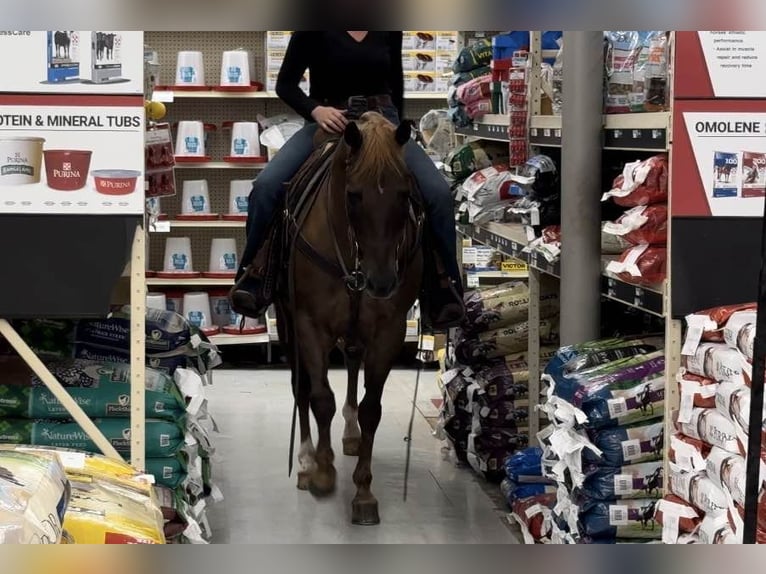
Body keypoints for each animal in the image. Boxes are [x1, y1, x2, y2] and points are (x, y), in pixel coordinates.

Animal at [274, 111, 424, 528]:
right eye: (354, 195)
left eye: (404, 193)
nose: (382, 281)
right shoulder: (309, 323)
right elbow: (320, 397)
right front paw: (323, 472)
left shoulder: (389, 331)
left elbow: (373, 408)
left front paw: (363, 492)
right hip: (285, 321)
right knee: (300, 386)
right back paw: (305, 462)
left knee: (353, 364)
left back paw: (351, 433)